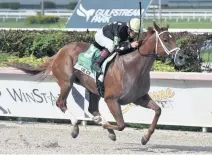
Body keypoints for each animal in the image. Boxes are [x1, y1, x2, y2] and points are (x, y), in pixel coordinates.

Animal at [6, 21, 185, 145]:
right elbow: (121, 124)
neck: (132, 67)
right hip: (66, 82)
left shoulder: (139, 97)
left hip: (93, 89)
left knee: (92, 109)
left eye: (174, 38)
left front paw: (145, 137)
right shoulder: (111, 99)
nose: (181, 57)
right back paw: (76, 127)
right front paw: (108, 128)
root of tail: (60, 51)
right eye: (165, 39)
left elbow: (158, 110)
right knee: (61, 103)